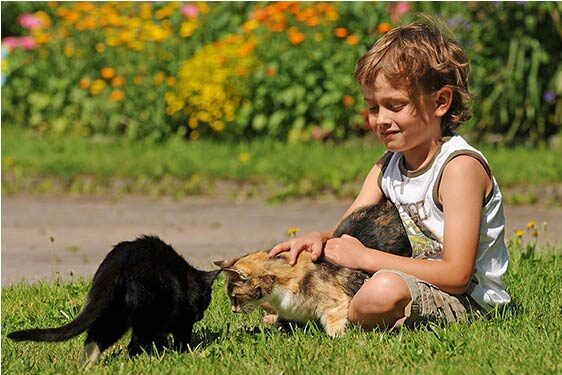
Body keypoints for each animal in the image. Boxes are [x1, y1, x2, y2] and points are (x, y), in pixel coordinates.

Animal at [9, 236, 219, 366]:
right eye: (206, 301)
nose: (201, 315)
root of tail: (119, 263)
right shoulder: (182, 318)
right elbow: (181, 337)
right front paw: (183, 353)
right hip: (150, 310)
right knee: (135, 343)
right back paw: (145, 361)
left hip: (115, 311)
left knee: (96, 338)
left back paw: (87, 366)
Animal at [212, 200, 410, 338]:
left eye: (234, 296)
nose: (233, 310)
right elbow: (282, 323)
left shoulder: (334, 303)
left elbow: (335, 322)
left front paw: (337, 339)